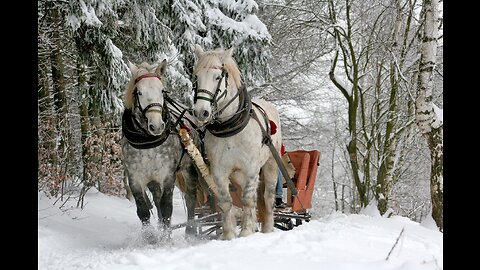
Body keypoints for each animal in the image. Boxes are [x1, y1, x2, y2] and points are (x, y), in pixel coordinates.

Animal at [191, 44, 282, 240]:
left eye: (217, 77)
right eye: (196, 77)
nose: (201, 112)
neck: (230, 127)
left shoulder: (251, 168)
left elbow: (247, 200)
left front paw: (246, 231)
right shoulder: (219, 171)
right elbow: (226, 202)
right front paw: (229, 235)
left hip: (270, 164)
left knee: (267, 197)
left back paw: (267, 228)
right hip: (238, 175)